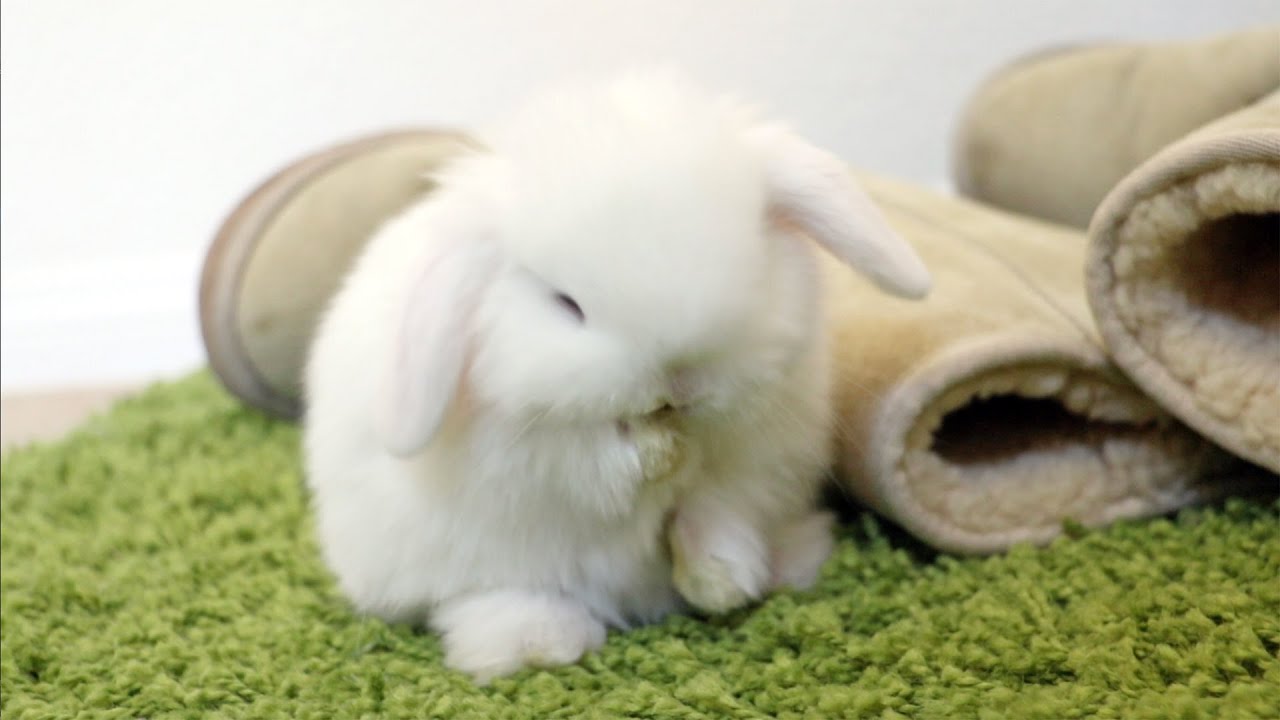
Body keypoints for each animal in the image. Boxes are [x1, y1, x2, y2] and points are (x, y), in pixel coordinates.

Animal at [302, 69, 931, 683]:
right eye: (567, 304)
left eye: (754, 267)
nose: (680, 383)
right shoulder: (535, 449)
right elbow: (603, 467)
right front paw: (654, 458)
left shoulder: (754, 442)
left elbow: (713, 499)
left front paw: (719, 574)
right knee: (482, 596)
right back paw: (538, 642)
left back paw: (771, 567)